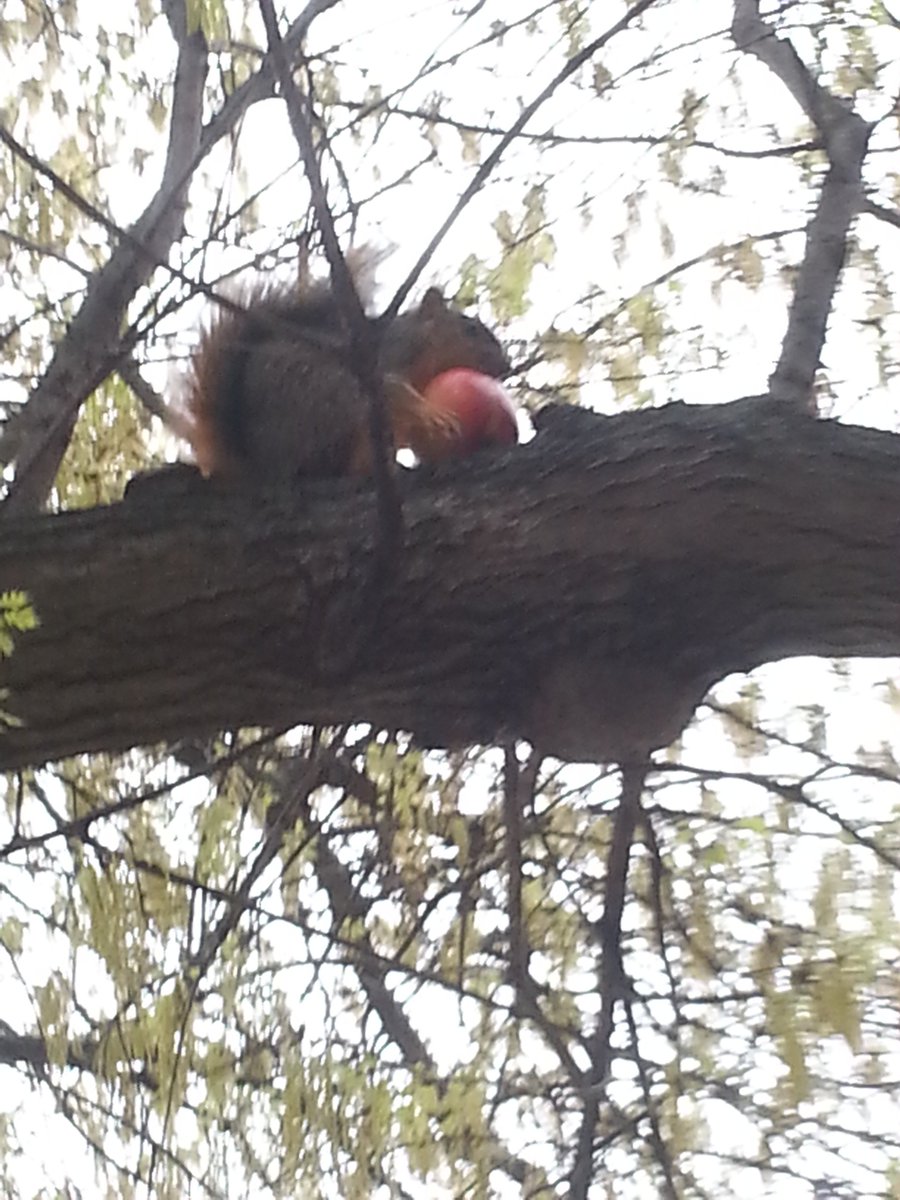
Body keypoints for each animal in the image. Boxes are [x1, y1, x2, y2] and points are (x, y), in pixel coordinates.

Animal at [179, 281, 510, 484]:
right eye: (470, 330)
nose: (507, 367)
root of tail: (260, 463)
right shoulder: (384, 360)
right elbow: (394, 388)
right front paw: (433, 414)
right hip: (334, 398)